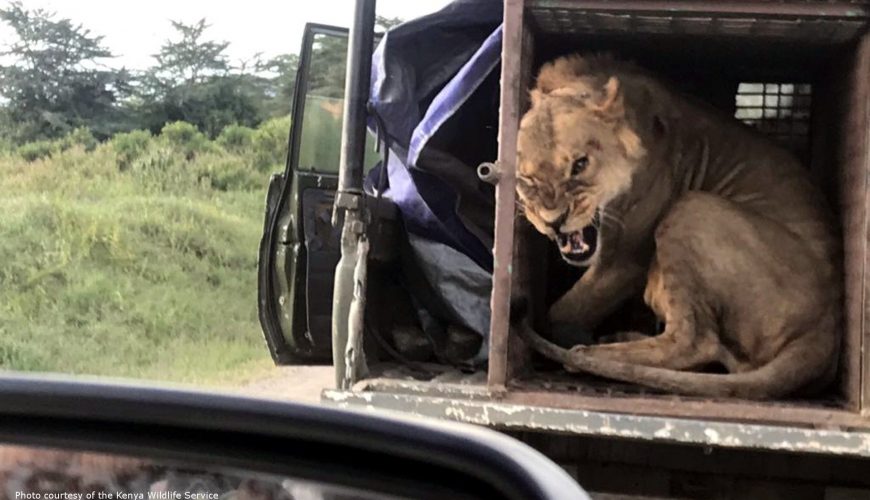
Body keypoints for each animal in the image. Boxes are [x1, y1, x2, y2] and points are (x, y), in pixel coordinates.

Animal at [513, 54, 842, 399]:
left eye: (580, 164)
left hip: (691, 208)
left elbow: (562, 312)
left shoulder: (625, 261)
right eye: (525, 178)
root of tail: (825, 330)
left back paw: (586, 354)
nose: (553, 221)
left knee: (694, 343)